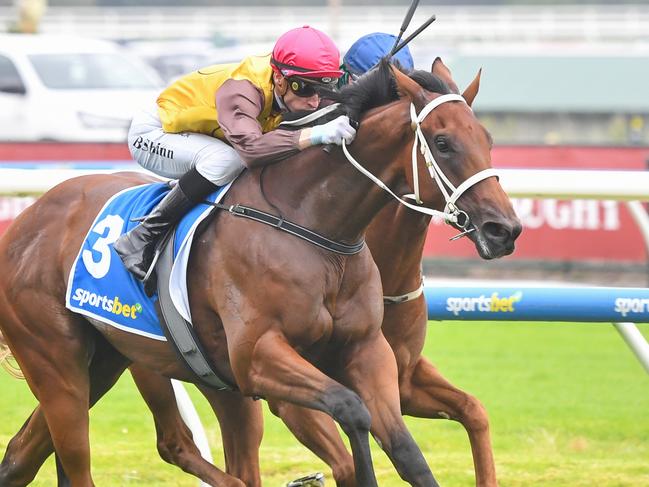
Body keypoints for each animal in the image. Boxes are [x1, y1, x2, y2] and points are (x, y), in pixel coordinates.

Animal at [0, 59, 516, 486]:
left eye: (488, 140)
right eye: (444, 143)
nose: (505, 229)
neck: (316, 229)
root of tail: (26, 221)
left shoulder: (369, 354)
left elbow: (411, 450)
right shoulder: (260, 360)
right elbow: (351, 413)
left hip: (108, 360)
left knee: (23, 454)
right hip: (58, 361)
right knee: (101, 454)